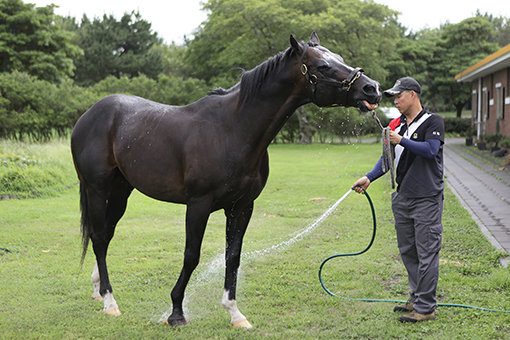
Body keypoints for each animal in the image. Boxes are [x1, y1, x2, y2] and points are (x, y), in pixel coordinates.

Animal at [72, 33, 382, 328]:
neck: (232, 129)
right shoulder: (198, 205)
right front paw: (176, 312)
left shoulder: (242, 206)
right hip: (97, 190)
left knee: (106, 236)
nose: (373, 88)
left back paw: (99, 290)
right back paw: (110, 302)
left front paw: (235, 314)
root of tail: (88, 116)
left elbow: (233, 256)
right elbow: (191, 255)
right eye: (322, 66)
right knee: (98, 238)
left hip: (121, 192)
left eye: (339, 57)